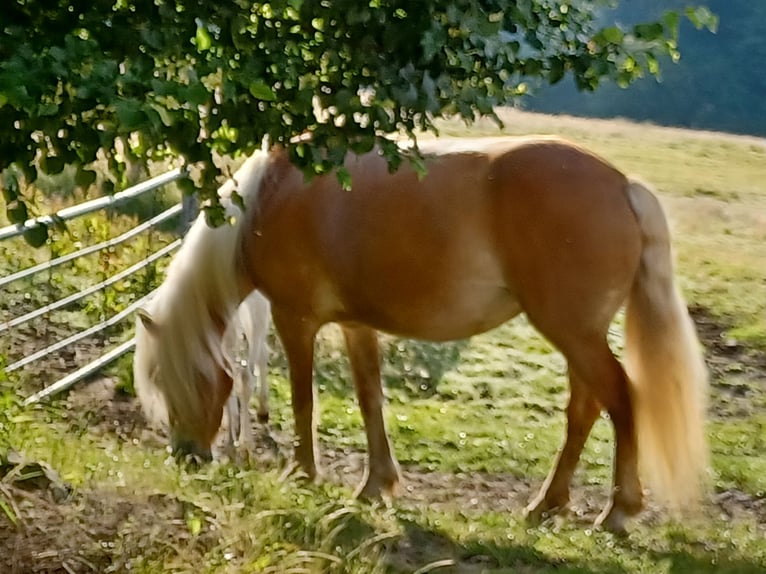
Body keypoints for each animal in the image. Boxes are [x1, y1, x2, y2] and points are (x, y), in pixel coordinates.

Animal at [135, 136, 712, 536]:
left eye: (171, 380)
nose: (185, 457)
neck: (272, 197)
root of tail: (623, 185)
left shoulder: (293, 319)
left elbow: (303, 399)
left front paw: (302, 474)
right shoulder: (357, 325)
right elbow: (370, 398)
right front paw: (376, 485)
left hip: (573, 332)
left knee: (620, 399)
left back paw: (617, 511)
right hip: (577, 335)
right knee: (585, 409)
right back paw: (547, 505)